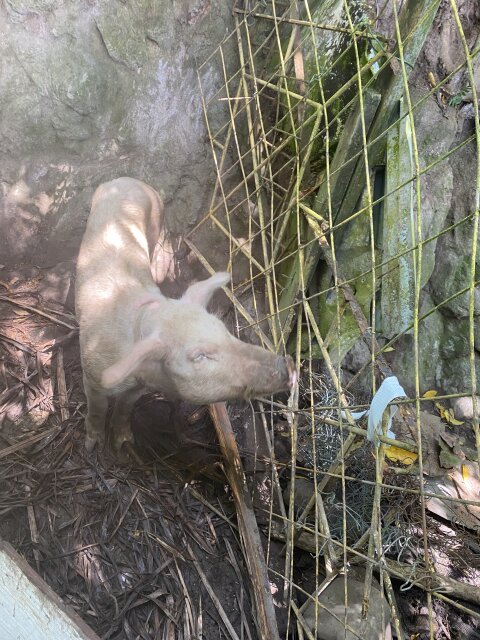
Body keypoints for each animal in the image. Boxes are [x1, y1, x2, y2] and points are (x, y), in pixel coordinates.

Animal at [75, 177, 296, 452]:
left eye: (224, 330)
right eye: (198, 356)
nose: (289, 364)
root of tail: (126, 180)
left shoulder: (137, 388)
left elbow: (125, 407)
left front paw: (125, 443)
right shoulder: (92, 376)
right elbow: (97, 408)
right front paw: (91, 445)